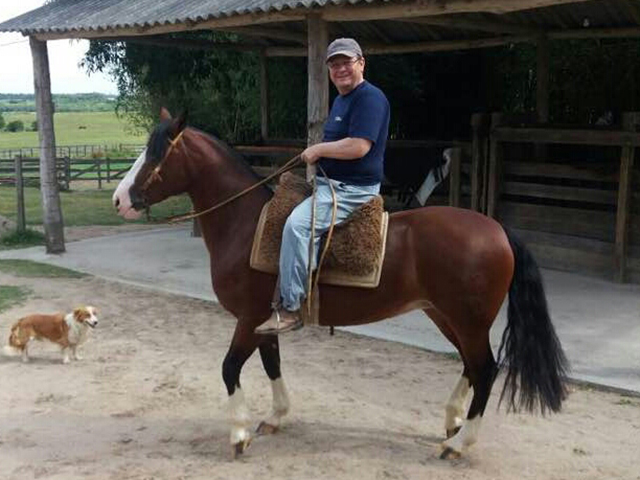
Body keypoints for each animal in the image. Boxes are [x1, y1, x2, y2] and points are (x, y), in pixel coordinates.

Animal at [112, 109, 568, 458]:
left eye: (156, 155)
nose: (119, 200)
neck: (246, 224)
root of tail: (499, 230)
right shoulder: (265, 320)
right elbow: (272, 364)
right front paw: (275, 417)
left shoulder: (248, 317)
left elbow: (229, 368)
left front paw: (238, 434)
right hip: (445, 316)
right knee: (472, 367)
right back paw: (452, 422)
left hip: (467, 320)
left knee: (486, 370)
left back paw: (460, 443)